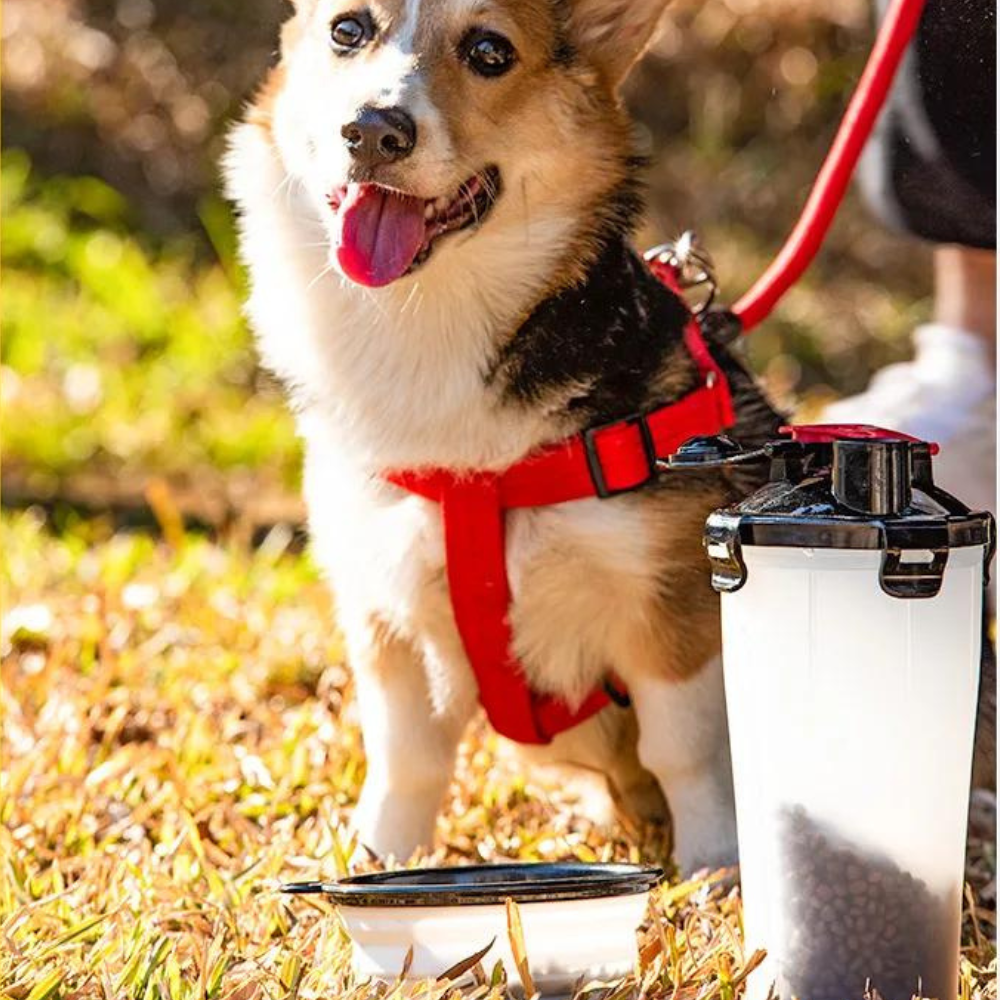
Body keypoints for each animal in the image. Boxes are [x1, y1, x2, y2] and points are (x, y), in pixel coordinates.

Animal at [227, 0, 780, 876]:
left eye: (490, 52)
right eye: (348, 30)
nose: (372, 131)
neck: (428, 323)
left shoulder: (672, 602)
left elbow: (686, 751)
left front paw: (714, 872)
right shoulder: (386, 616)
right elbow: (406, 760)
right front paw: (379, 860)